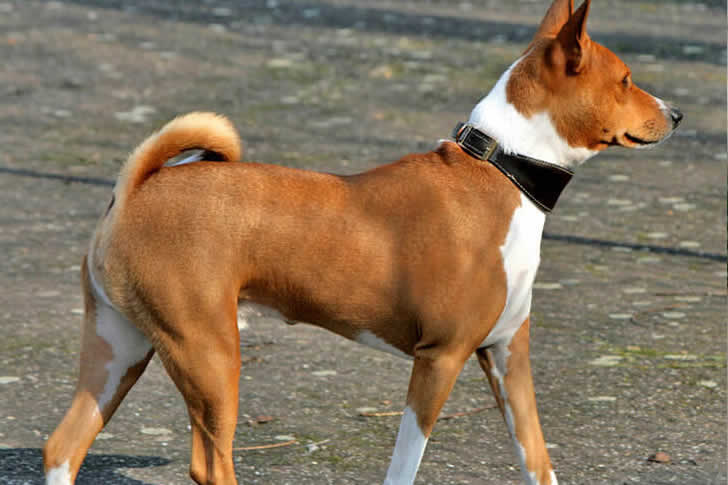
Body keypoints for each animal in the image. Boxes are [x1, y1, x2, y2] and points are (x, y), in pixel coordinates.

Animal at [43, 1, 682, 483]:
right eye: (626, 80)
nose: (676, 114)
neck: (503, 171)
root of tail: (136, 189)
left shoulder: (506, 356)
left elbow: (538, 461)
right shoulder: (440, 358)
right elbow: (405, 467)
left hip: (121, 349)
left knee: (63, 447)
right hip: (208, 355)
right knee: (209, 465)